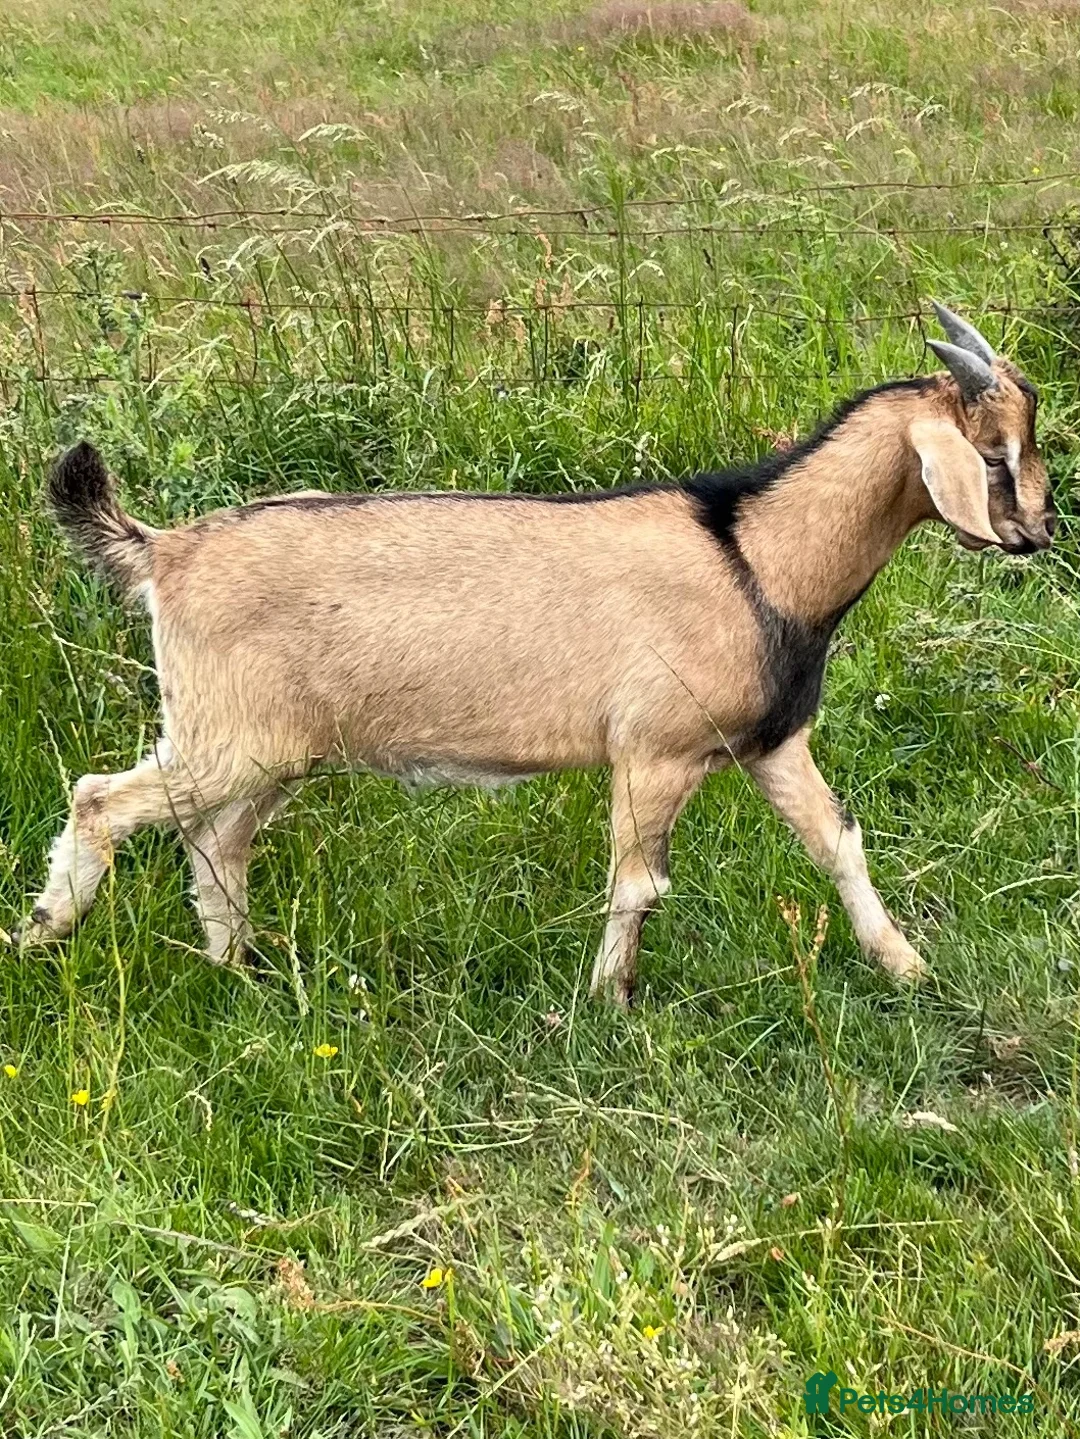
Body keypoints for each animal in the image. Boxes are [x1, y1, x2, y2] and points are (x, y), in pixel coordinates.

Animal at [16, 304, 1054, 1005]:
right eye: (995, 453)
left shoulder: (771, 741)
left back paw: (237, 965)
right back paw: (43, 933)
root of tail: (166, 551)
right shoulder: (654, 749)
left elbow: (838, 840)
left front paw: (907, 965)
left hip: (271, 745)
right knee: (102, 798)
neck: (758, 555)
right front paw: (607, 1002)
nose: (1041, 531)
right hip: (228, 734)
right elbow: (638, 882)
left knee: (217, 839)